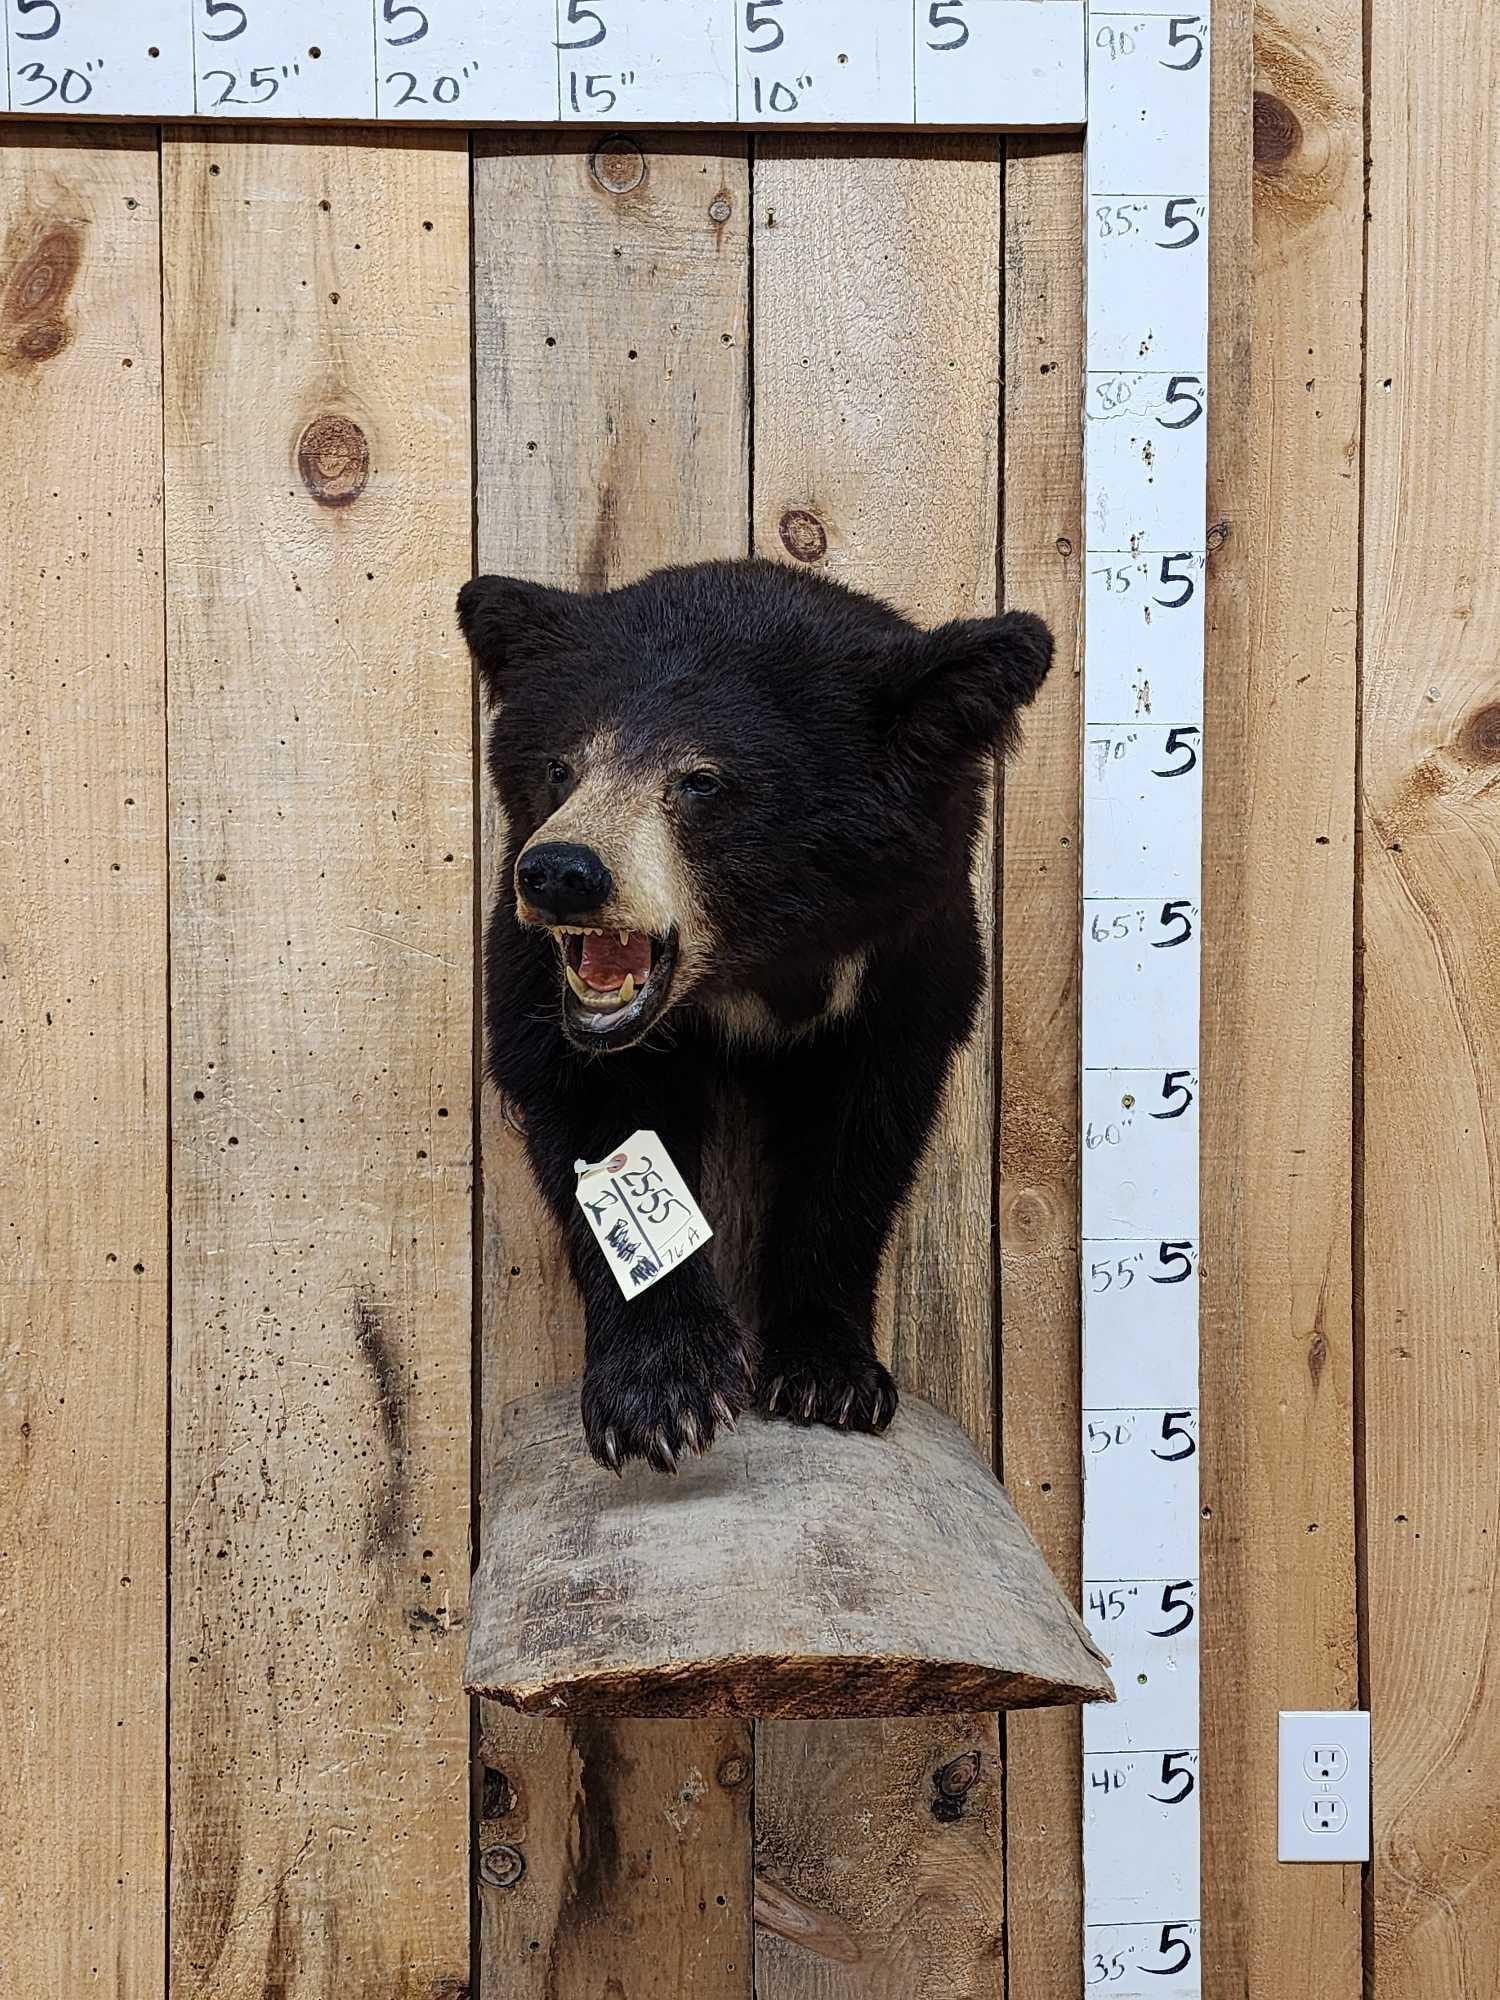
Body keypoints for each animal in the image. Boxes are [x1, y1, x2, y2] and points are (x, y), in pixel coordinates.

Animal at [459, 558, 1053, 1474]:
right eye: (560, 767)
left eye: (702, 781)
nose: (560, 872)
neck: (752, 962)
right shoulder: (540, 980)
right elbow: (588, 1107)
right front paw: (663, 1392)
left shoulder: (907, 952)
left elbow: (860, 1141)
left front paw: (829, 1375)